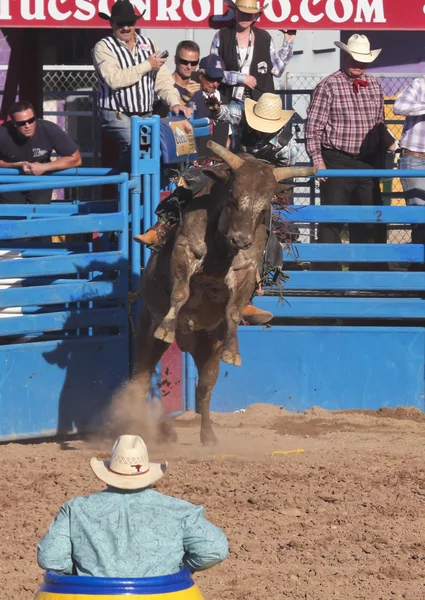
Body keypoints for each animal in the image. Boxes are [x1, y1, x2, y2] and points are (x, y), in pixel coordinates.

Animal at [135, 143, 314, 446]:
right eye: (232, 197)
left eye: (265, 205)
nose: (240, 239)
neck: (221, 248)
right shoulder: (185, 251)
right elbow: (181, 293)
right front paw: (168, 327)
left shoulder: (247, 269)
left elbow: (233, 309)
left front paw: (234, 351)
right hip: (147, 330)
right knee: (140, 378)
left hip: (209, 346)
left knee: (204, 390)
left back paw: (208, 436)